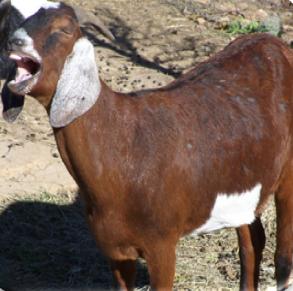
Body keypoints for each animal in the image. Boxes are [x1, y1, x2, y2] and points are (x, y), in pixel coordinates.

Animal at [2, 2, 292, 291]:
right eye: (20, 20)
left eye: (63, 30)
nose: (15, 41)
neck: (125, 143)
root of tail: (274, 44)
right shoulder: (115, 250)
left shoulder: (162, 245)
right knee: (252, 240)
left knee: (283, 258)